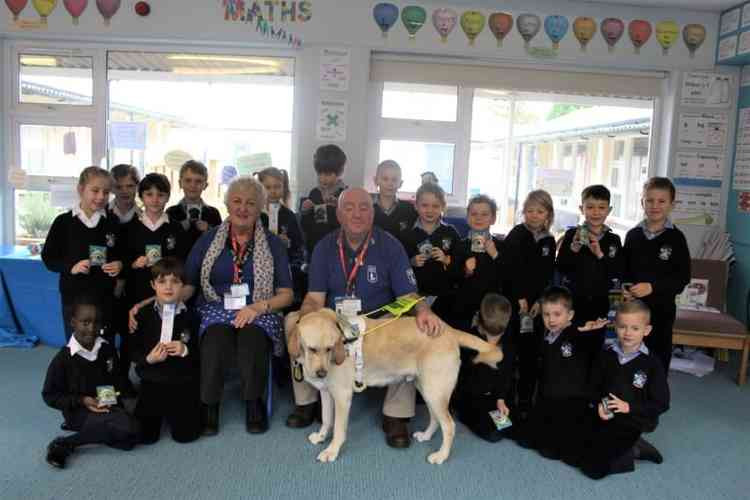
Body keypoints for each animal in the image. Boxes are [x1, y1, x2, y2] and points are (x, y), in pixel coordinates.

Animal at [288, 308, 506, 464]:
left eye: (330, 348)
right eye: (312, 349)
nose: (321, 373)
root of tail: (449, 331)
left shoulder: (342, 396)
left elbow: (339, 430)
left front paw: (331, 451)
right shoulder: (326, 393)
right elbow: (326, 419)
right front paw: (321, 436)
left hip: (434, 391)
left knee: (449, 425)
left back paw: (441, 456)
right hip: (427, 389)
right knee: (436, 419)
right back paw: (426, 436)